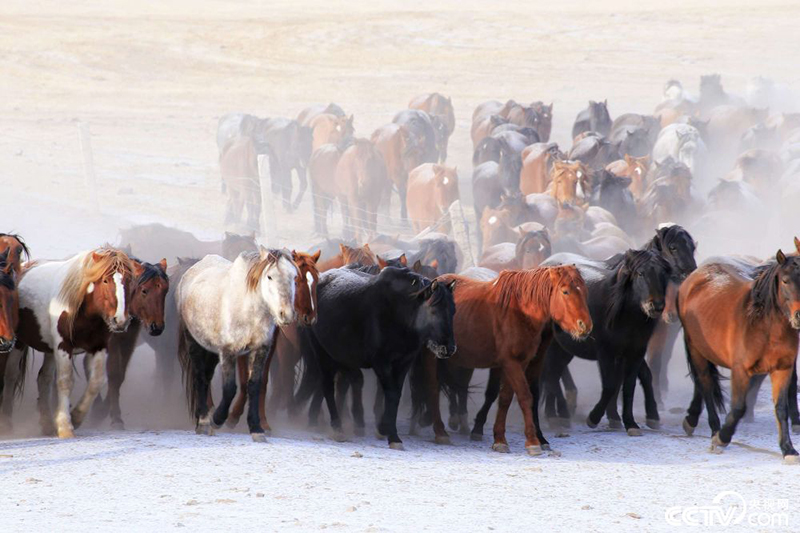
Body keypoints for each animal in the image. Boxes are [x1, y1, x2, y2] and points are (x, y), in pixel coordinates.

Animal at [15, 246, 133, 436]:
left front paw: (76, 417)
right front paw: (65, 426)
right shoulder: (63, 346)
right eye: (105, 280)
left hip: (50, 351)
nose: (120, 320)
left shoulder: (98, 347)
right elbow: (65, 382)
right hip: (18, 345)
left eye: (129, 280)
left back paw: (47, 424)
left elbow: (96, 381)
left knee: (44, 379)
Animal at [177, 247, 298, 438]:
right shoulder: (229, 351)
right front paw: (218, 419)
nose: (286, 314)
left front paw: (256, 428)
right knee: (200, 377)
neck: (249, 308)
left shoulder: (260, 350)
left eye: (294, 277)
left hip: (211, 350)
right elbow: (229, 388)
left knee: (206, 377)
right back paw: (204, 421)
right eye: (269, 276)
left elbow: (254, 386)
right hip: (194, 343)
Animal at [296, 268, 456, 446]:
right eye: (434, 311)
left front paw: (383, 428)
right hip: (321, 352)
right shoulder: (381, 362)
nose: (448, 349)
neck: (397, 313)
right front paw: (392, 436)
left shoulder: (404, 363)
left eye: (453, 311)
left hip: (341, 356)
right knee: (327, 386)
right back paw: (337, 427)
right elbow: (391, 393)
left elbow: (396, 394)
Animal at [424, 266, 592, 454]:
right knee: (433, 389)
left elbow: (505, 397)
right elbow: (525, 396)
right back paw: (440, 431)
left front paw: (499, 439)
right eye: (565, 291)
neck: (519, 311)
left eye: (585, 291)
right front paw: (532, 441)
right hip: (433, 357)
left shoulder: (520, 363)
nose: (585, 326)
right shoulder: (511, 363)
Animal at [680, 250, 800, 462]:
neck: (765, 327)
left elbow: (780, 408)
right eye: (785, 281)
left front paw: (788, 449)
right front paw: (722, 438)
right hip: (695, 349)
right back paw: (713, 429)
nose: (799, 317)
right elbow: (738, 408)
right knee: (705, 384)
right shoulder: (741, 370)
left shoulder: (782, 369)